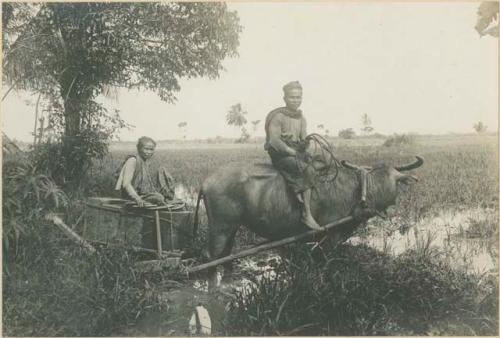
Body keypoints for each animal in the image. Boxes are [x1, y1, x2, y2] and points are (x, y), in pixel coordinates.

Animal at [194, 155, 422, 286]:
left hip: (231, 228)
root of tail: (206, 182)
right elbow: (329, 262)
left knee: (227, 254)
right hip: (220, 227)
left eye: (394, 179)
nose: (390, 208)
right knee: (210, 257)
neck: (359, 190)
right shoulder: (332, 237)